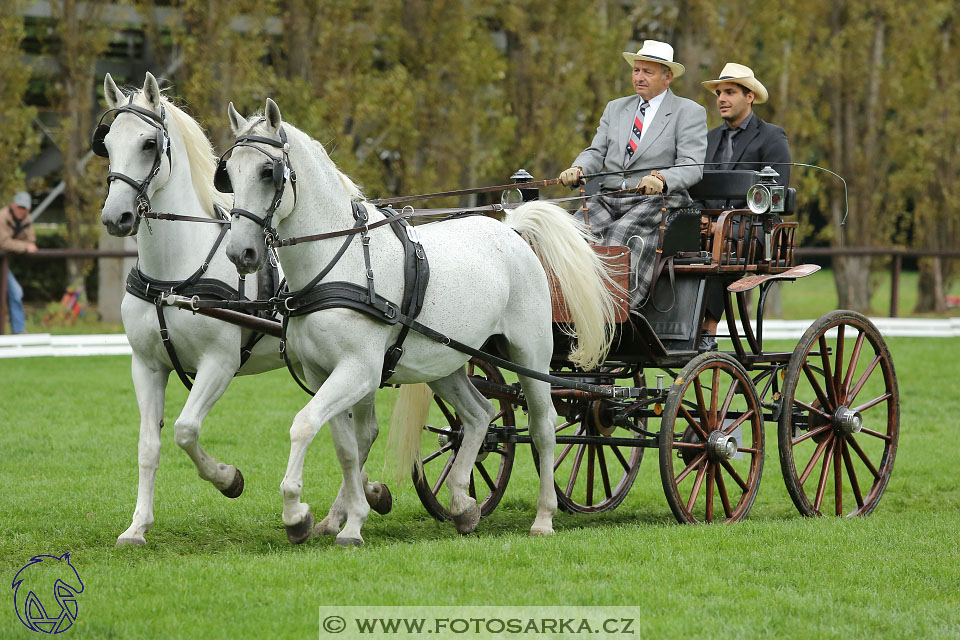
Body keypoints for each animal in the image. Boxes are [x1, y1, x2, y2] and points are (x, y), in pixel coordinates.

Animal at [97, 74, 394, 544]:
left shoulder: (219, 362)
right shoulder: (146, 365)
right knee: (356, 433)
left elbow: (185, 430)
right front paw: (137, 526)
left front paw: (228, 478)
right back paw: (354, 504)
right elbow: (149, 446)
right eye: (106, 142)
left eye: (148, 143)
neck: (174, 275)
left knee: (363, 433)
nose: (116, 217)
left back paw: (351, 506)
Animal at [221, 99, 620, 544]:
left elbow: (305, 425)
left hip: (530, 355)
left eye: (267, 172)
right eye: (229, 172)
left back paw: (544, 517)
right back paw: (463, 505)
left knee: (543, 426)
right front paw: (345, 518)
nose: (241, 253)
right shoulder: (322, 373)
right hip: (445, 362)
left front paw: (302, 514)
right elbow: (345, 447)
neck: (340, 261)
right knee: (479, 414)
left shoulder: (358, 370)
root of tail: (511, 231)